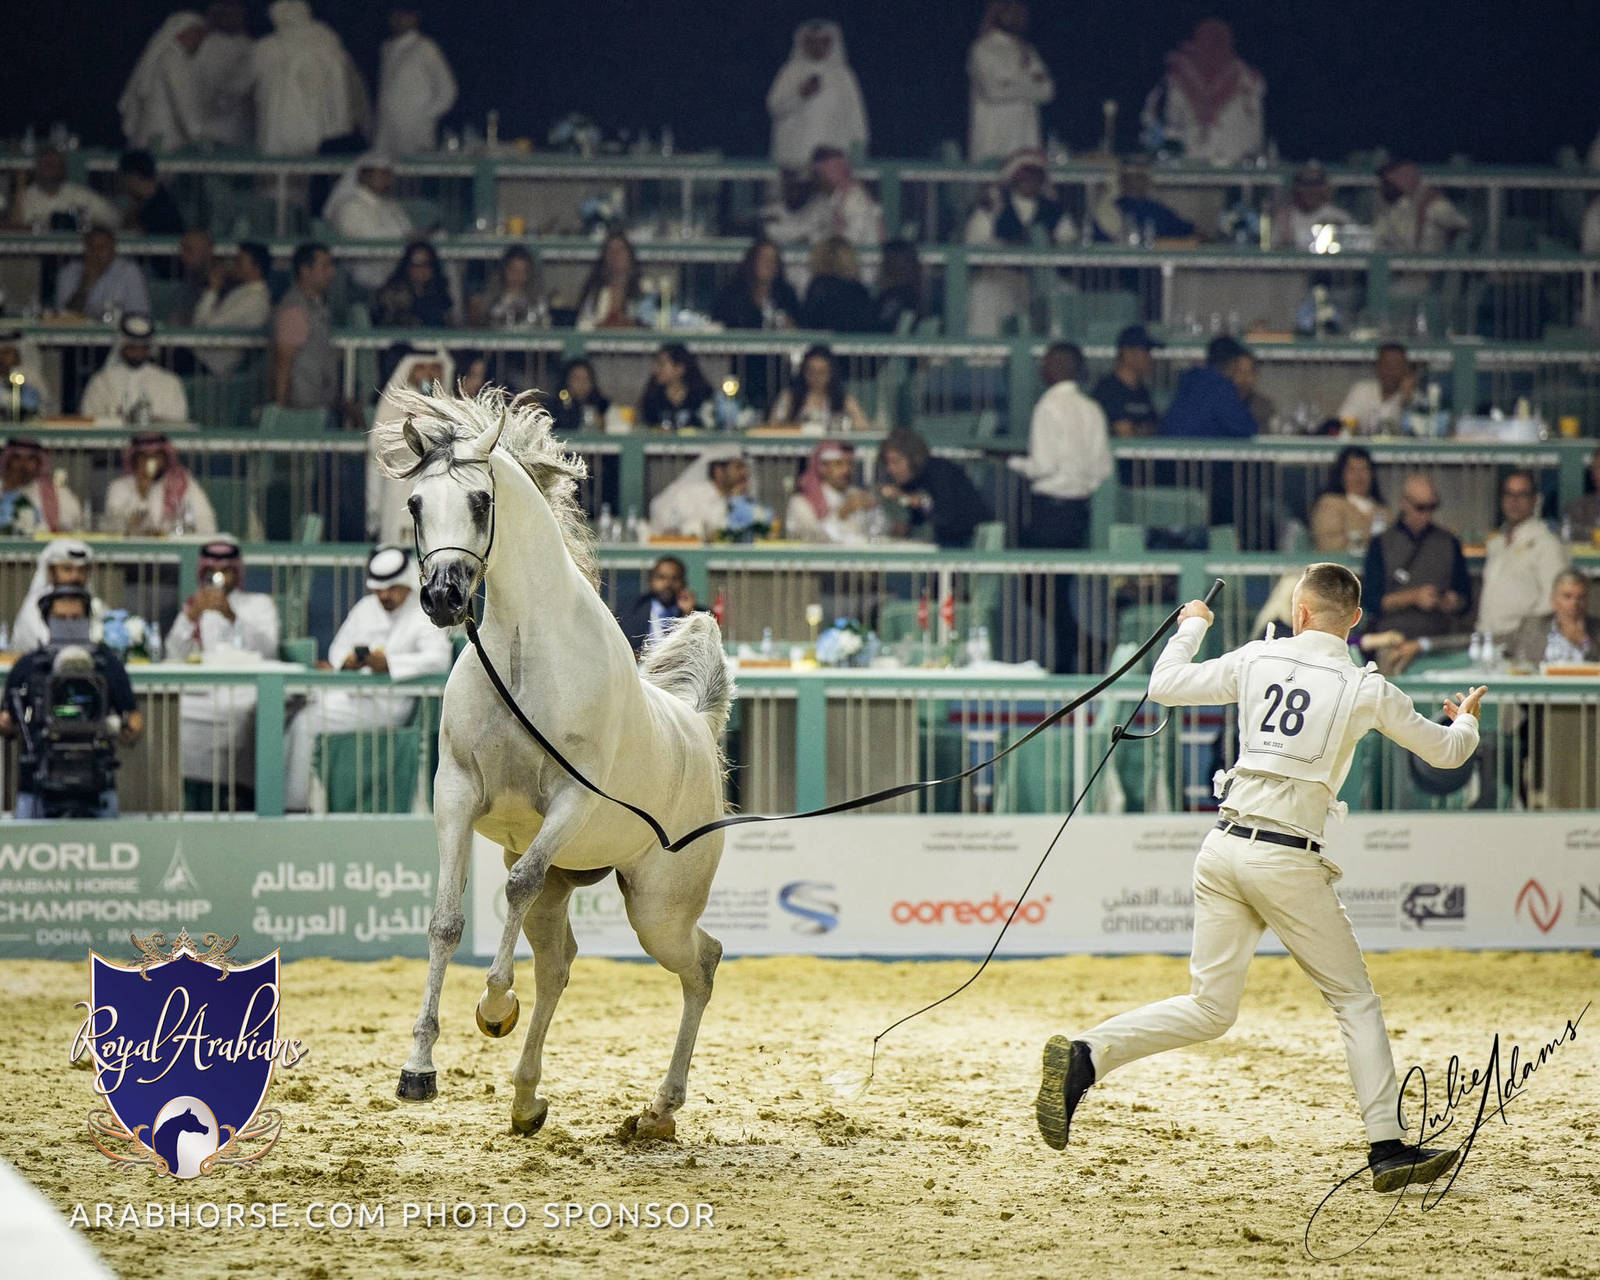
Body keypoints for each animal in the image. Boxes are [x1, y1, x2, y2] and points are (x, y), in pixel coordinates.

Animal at [374, 386, 732, 1139]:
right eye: (416, 503)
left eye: (481, 499)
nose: (442, 597)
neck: (522, 652)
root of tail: (696, 728)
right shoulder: (455, 793)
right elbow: (445, 922)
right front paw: (418, 1070)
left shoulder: (570, 803)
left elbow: (512, 887)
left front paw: (492, 1007)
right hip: (572, 889)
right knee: (559, 967)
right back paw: (526, 1098)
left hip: (658, 909)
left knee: (703, 964)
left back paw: (659, 1109)